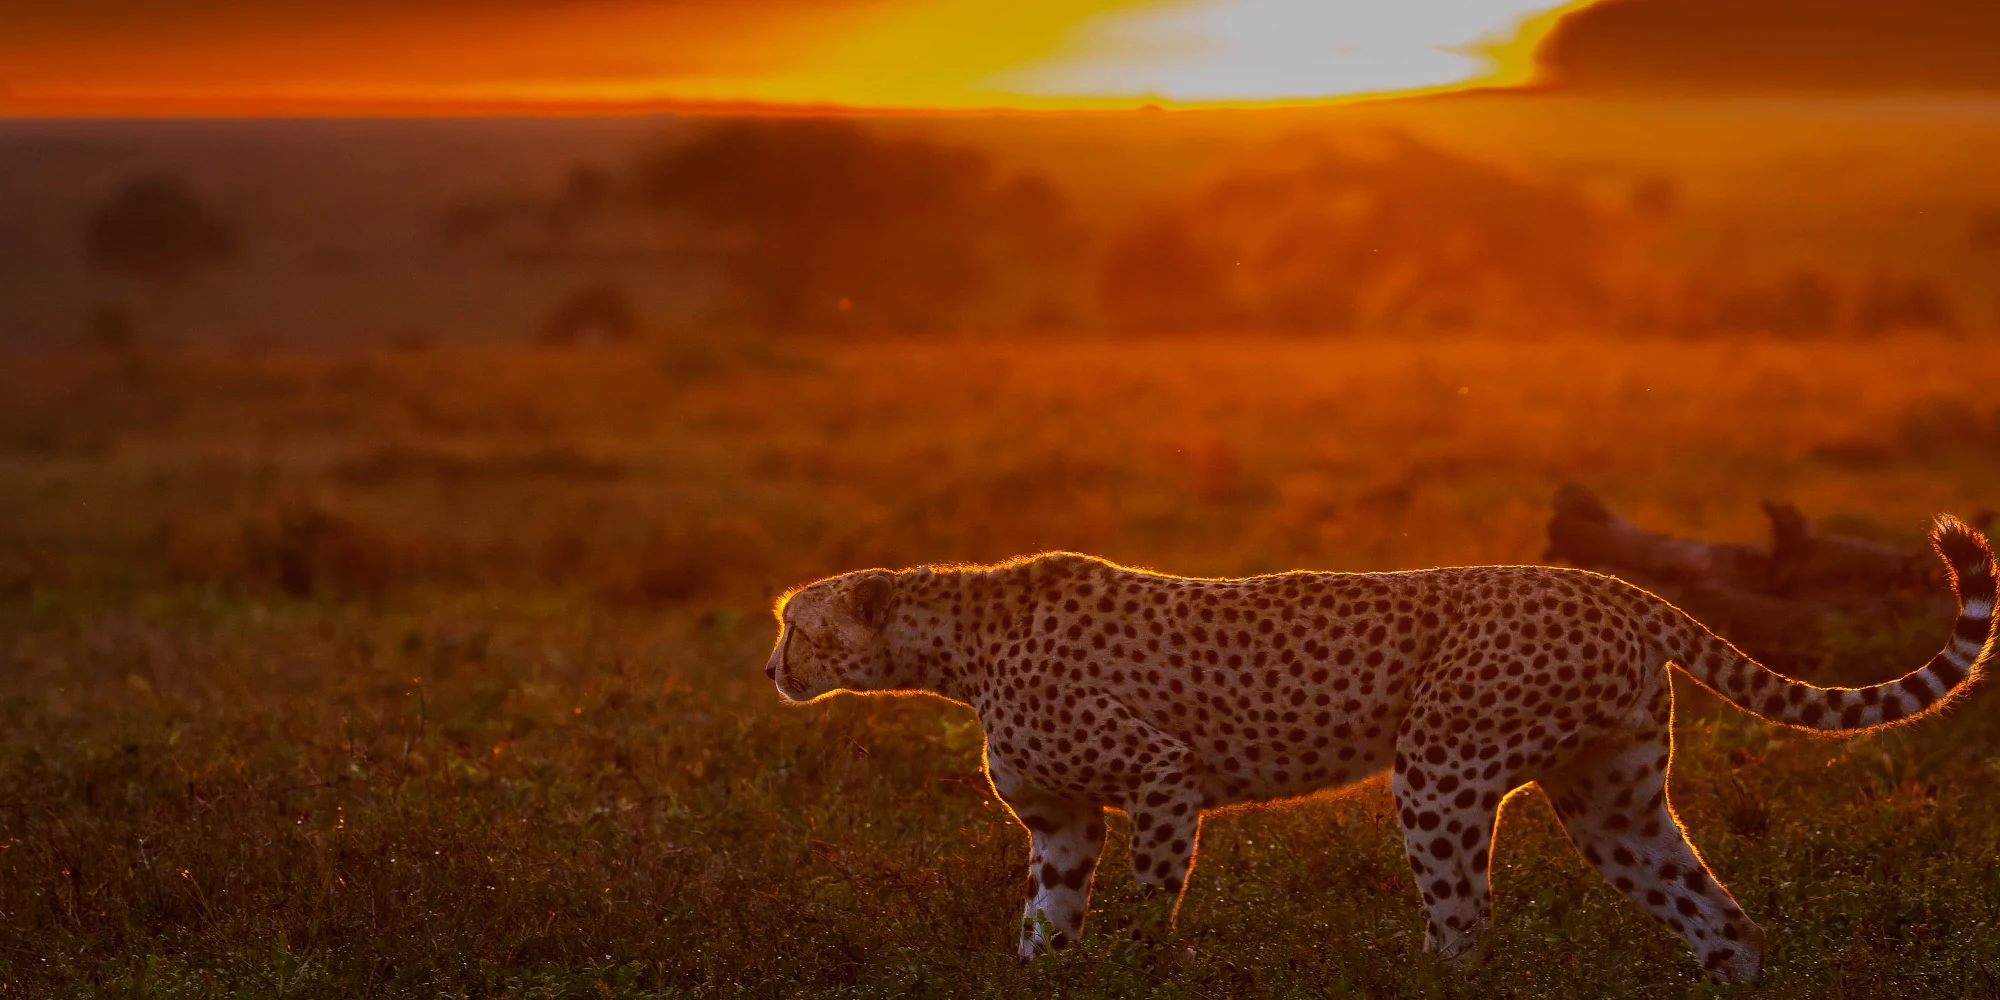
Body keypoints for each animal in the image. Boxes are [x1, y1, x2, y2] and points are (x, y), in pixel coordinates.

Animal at [764, 515, 1994, 983]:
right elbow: (1043, 926)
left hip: (1440, 770)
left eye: (796, 624)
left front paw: (1136, 970)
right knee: (1721, 917)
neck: (955, 641)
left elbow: (1142, 909)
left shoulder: (1162, 780)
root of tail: (1609, 581)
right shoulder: (1061, 824)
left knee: (1465, 926)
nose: (771, 669)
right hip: (1611, 799)